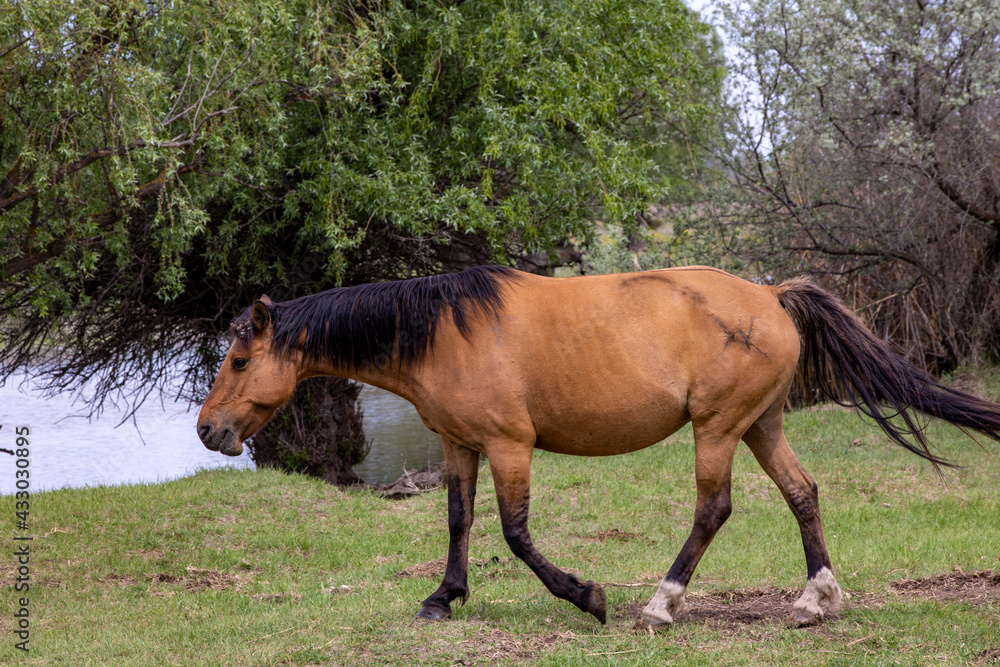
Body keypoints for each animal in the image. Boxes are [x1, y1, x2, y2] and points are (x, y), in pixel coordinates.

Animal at [196, 265, 1000, 629]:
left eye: (237, 360)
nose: (208, 430)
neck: (446, 329)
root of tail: (770, 295)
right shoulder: (459, 445)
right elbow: (458, 521)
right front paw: (443, 597)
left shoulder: (509, 445)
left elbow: (516, 533)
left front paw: (586, 594)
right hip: (761, 424)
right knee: (803, 492)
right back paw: (814, 598)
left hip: (718, 430)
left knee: (713, 509)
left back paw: (661, 603)